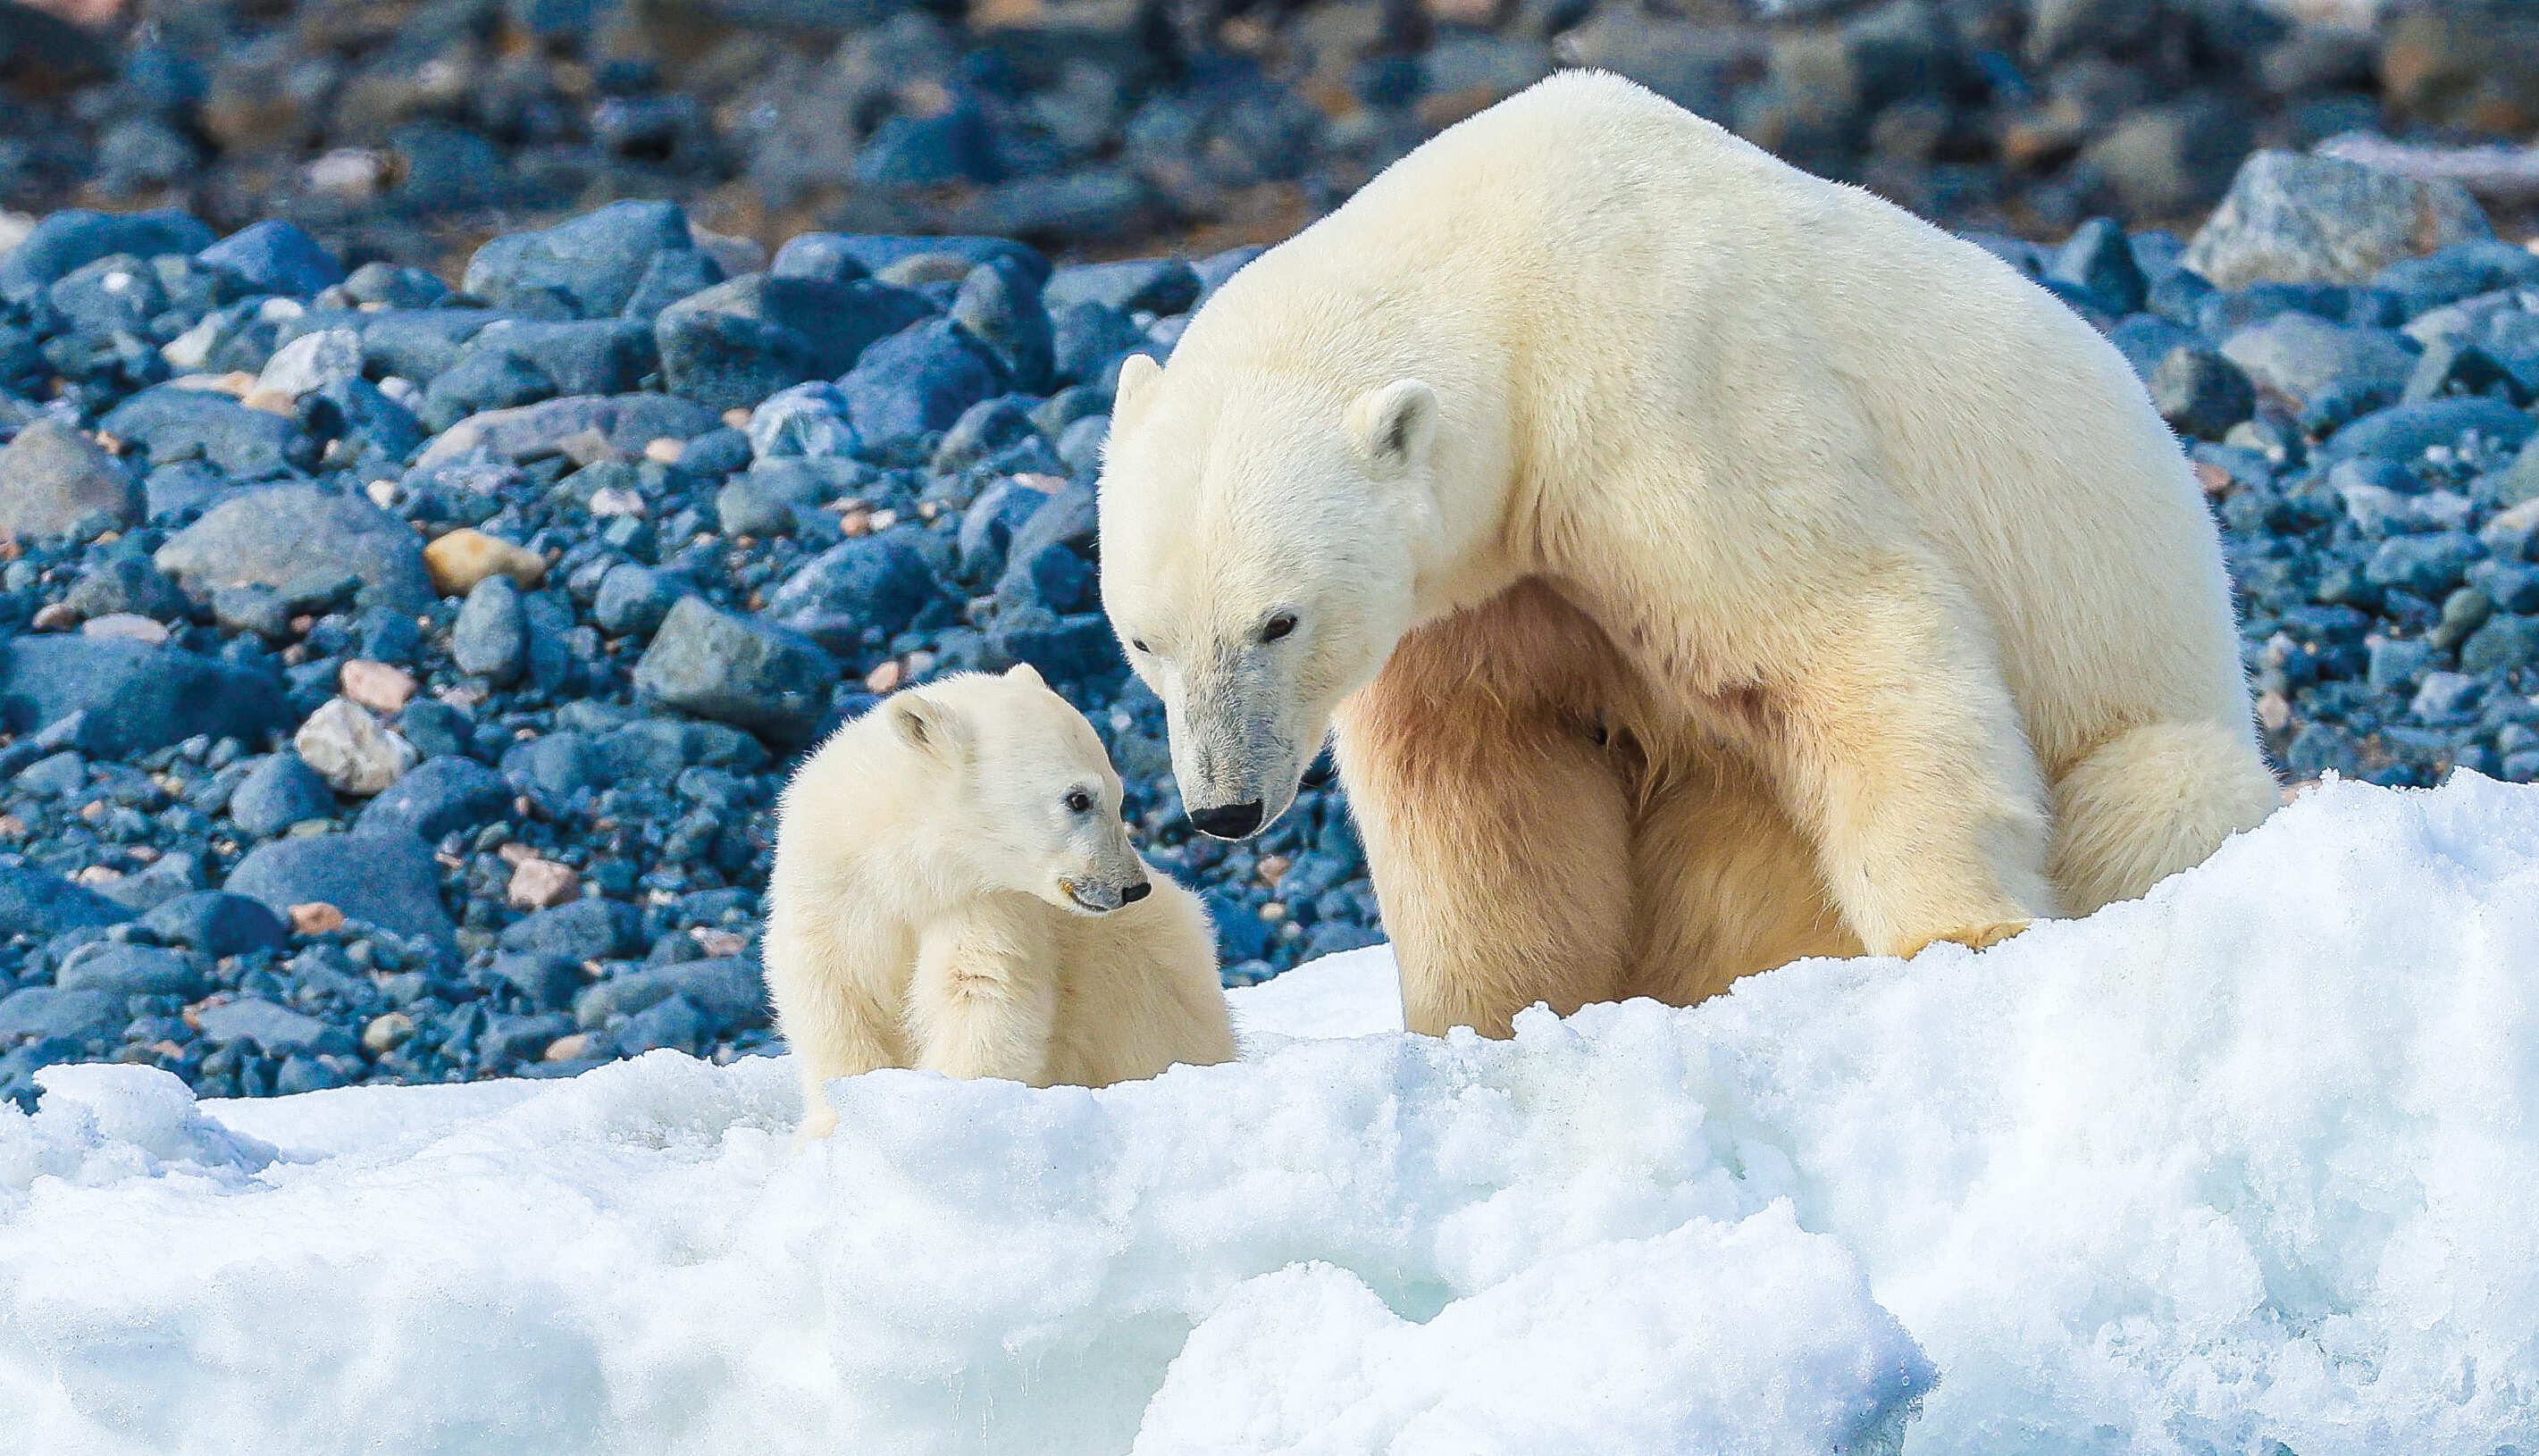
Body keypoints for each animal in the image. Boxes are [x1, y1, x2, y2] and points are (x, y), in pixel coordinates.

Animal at [761, 669, 1238, 1136]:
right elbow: (832, 996)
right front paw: (832, 1127)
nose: (1133, 887)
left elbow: (984, 993)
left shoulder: (987, 904)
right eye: (1079, 799)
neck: (910, 867)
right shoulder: (831, 887)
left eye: (1119, 795)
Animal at [1092, 71, 2284, 1040]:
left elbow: (1848, 629)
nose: (1222, 808)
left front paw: (1962, 937)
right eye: (1143, 640)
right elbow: (1481, 787)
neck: (1510, 274)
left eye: (1278, 619)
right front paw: (1477, 1021)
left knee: (2157, 787)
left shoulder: (1672, 394)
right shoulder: (1482, 591)